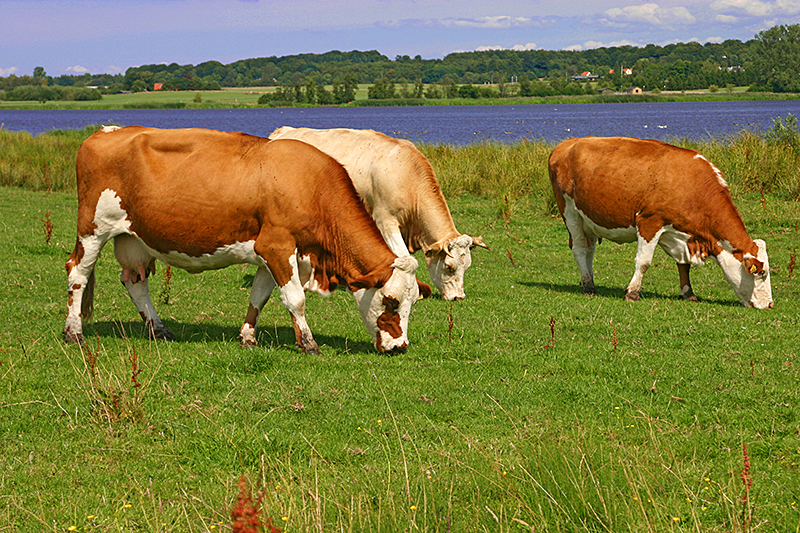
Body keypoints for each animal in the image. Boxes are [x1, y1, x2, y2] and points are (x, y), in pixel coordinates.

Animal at [65, 125, 422, 354]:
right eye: (391, 302)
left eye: (413, 302)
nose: (400, 347)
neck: (311, 185)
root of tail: (104, 131)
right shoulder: (277, 246)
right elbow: (296, 299)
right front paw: (309, 344)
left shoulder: (268, 253)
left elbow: (259, 297)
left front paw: (248, 337)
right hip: (93, 230)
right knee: (77, 274)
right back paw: (74, 333)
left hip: (134, 238)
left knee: (135, 282)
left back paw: (159, 329)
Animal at [268, 124, 488, 300]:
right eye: (449, 266)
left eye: (467, 266)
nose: (458, 297)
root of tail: (282, 131)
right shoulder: (385, 220)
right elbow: (402, 256)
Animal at [548, 135, 772, 308]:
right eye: (761, 273)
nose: (769, 305)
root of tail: (566, 144)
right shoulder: (649, 222)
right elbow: (644, 262)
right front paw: (632, 293)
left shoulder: (682, 235)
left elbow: (683, 265)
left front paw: (688, 293)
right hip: (569, 211)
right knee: (579, 249)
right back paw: (588, 285)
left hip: (589, 218)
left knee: (589, 250)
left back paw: (590, 281)